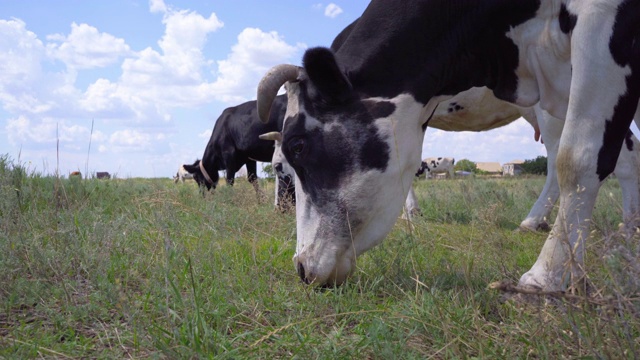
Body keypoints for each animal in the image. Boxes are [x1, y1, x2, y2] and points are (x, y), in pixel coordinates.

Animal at [256, 0, 640, 290]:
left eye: (297, 148)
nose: (301, 267)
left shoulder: (601, 26)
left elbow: (578, 159)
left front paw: (545, 277)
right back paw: (628, 230)